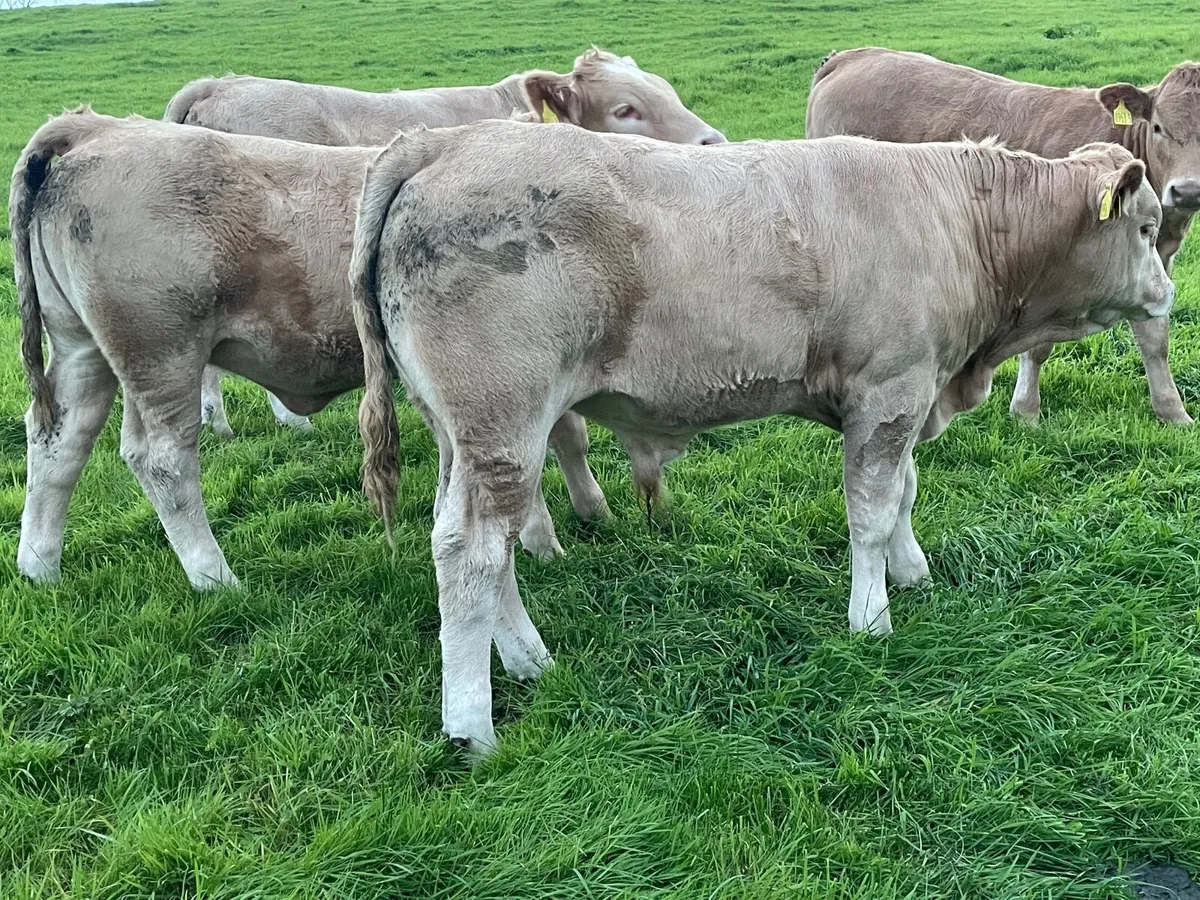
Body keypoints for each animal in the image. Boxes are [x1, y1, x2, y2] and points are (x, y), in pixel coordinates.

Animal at [11, 106, 705, 590]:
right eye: (628, 109)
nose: (705, 145)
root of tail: (92, 128)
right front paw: (550, 538)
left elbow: (566, 438)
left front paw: (587, 513)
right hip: (160, 351)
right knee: (161, 461)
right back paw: (215, 577)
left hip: (82, 349)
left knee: (58, 444)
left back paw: (40, 565)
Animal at [350, 120, 1172, 755]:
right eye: (1146, 228)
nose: (1167, 294)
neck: (960, 220)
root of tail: (445, 139)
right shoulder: (891, 389)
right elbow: (872, 510)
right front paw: (872, 617)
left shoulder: (909, 393)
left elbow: (905, 490)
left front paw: (912, 571)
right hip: (503, 420)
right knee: (471, 554)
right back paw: (473, 726)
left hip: (466, 437)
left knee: (487, 548)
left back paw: (530, 662)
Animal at [806, 47, 1200, 426]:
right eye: (1158, 127)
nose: (1188, 190)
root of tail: (851, 56)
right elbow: (1038, 348)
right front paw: (1026, 410)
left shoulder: (1151, 262)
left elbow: (1155, 337)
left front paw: (1173, 412)